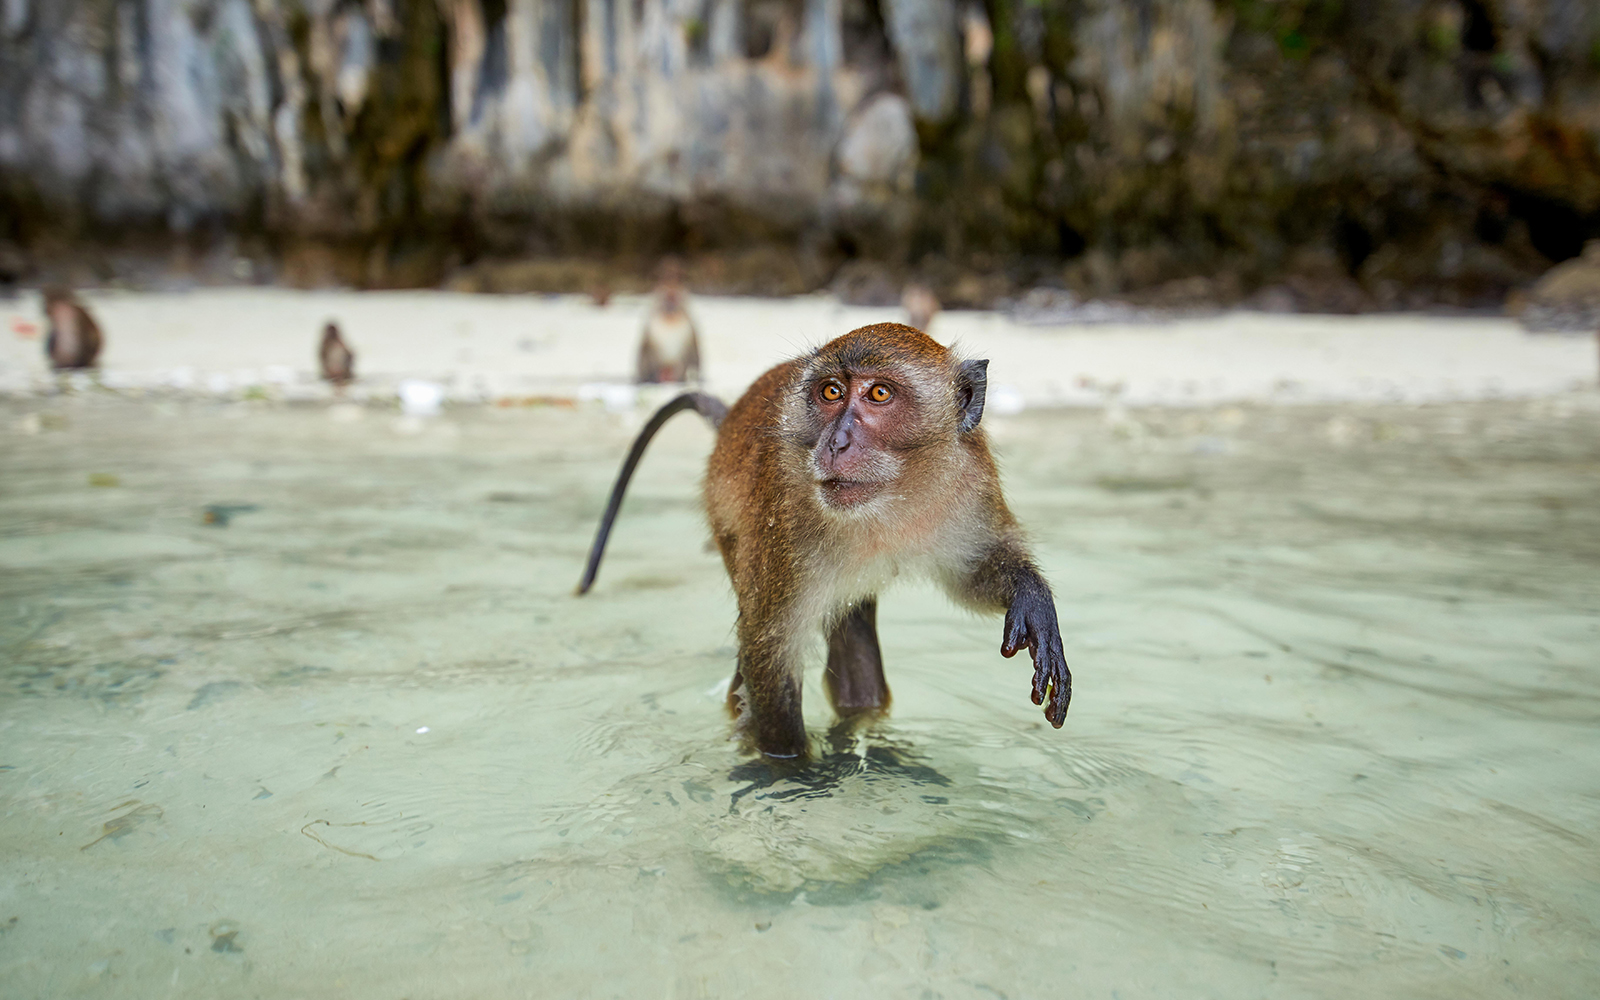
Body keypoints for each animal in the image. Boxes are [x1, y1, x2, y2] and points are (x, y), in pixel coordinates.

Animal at [578, 322, 1070, 759]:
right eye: (831, 392)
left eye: (879, 394)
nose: (835, 442)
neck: (891, 497)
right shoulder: (785, 520)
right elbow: (768, 650)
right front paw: (794, 771)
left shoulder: (971, 480)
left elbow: (972, 572)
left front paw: (1029, 595)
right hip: (728, 524)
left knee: (854, 636)